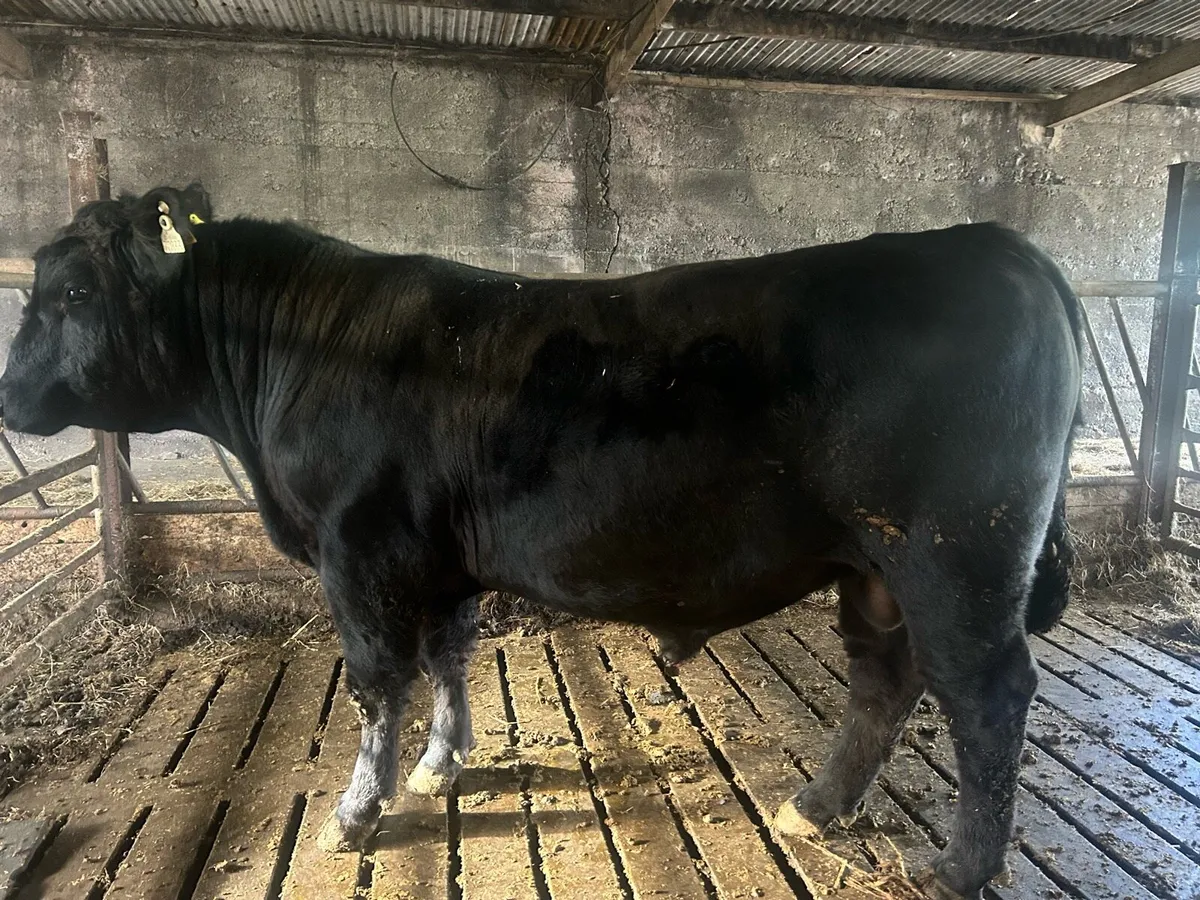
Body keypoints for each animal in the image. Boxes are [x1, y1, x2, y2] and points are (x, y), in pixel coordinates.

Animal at [0, 184, 1081, 900]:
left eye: (74, 296)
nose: (8, 395)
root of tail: (1002, 246)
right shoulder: (436, 561)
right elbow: (449, 656)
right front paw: (444, 763)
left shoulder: (359, 554)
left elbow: (374, 686)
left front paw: (356, 813)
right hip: (877, 567)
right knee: (883, 680)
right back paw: (812, 807)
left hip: (955, 554)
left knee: (985, 694)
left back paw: (957, 867)